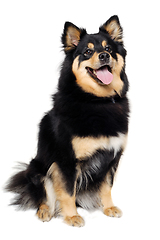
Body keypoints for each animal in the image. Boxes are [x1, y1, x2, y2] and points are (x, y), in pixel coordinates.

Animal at [5, 15, 129, 227]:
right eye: (87, 51)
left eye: (109, 49)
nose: (105, 56)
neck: (97, 101)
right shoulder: (65, 160)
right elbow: (67, 192)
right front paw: (71, 216)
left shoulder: (112, 157)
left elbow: (106, 186)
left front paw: (108, 207)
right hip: (38, 169)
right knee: (43, 195)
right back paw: (44, 211)